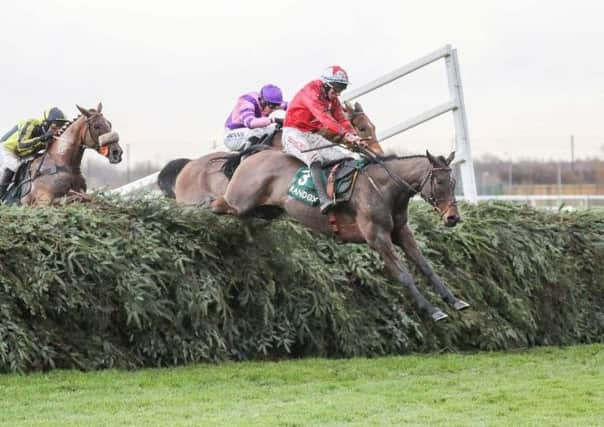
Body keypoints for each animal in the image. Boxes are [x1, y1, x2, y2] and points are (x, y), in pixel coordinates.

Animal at [210, 147, 470, 320]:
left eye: (453, 181)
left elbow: (426, 267)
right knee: (215, 204)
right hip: (239, 201)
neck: (384, 188)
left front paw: (455, 300)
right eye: (439, 182)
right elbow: (404, 275)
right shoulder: (377, 238)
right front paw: (433, 311)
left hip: (267, 210)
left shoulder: (401, 232)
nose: (453, 218)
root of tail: (252, 156)